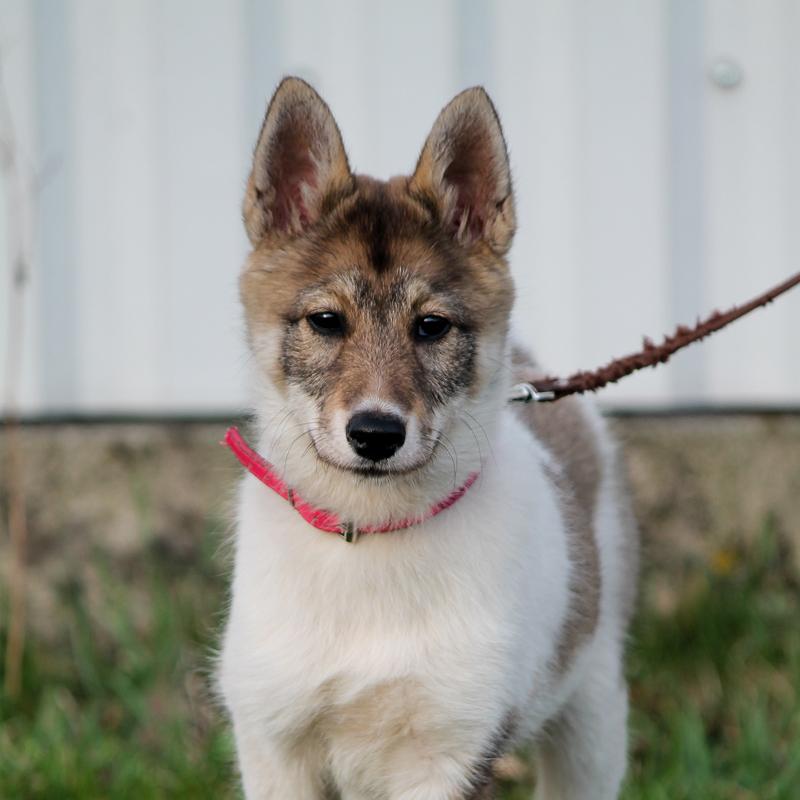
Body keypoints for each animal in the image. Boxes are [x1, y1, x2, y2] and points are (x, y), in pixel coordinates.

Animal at [217, 76, 636, 800]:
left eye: (432, 327)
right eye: (326, 321)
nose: (376, 434)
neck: (368, 536)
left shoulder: (449, 750)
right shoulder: (273, 742)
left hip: (593, 717)